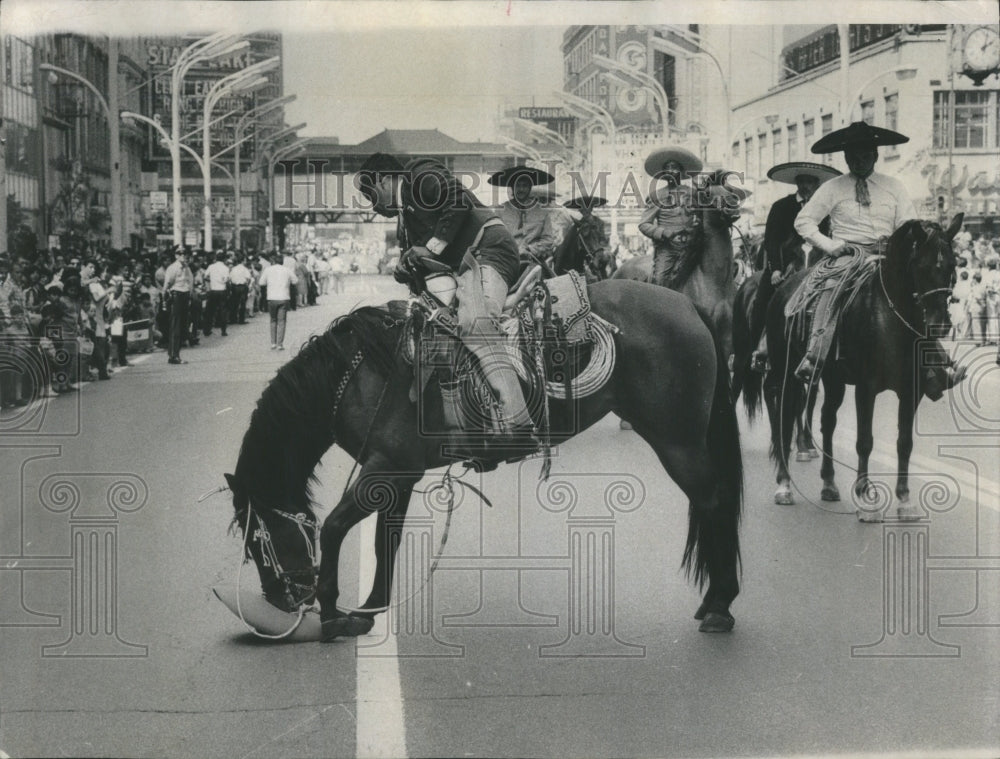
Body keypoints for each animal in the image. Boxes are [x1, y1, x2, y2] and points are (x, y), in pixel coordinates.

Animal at [227, 276, 744, 640]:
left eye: (257, 538)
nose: (280, 599)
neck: (359, 374)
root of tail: (687, 304)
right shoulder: (397, 474)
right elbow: (384, 542)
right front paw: (370, 610)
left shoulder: (382, 470)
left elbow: (334, 528)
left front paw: (334, 613)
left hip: (678, 442)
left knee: (714, 502)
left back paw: (720, 606)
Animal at [744, 217, 960, 520]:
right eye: (921, 265)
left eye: (953, 265)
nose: (939, 325)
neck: (889, 318)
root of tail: (784, 288)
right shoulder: (866, 388)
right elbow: (864, 440)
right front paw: (866, 498)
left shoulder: (911, 391)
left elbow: (904, 443)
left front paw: (905, 500)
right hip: (785, 374)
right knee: (784, 418)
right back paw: (784, 485)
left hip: (832, 380)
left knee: (826, 421)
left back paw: (828, 483)